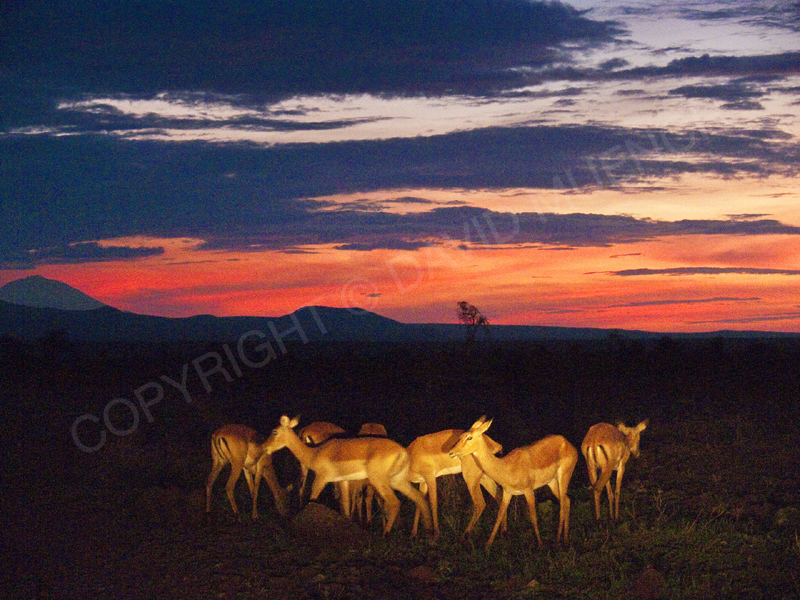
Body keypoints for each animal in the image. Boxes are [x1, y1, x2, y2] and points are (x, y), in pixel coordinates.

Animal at [265, 416, 432, 534]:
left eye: (274, 431)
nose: (265, 447)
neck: (315, 453)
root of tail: (403, 451)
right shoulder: (343, 481)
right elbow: (345, 506)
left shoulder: (322, 479)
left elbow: (312, 498)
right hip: (397, 481)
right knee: (419, 499)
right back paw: (429, 534)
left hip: (379, 481)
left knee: (394, 502)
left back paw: (385, 533)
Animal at [449, 416, 578, 549]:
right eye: (461, 436)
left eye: (469, 437)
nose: (451, 452)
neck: (506, 467)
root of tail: (569, 444)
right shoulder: (507, 492)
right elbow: (499, 515)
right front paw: (488, 546)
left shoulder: (528, 491)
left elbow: (533, 517)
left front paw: (540, 544)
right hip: (552, 483)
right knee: (567, 500)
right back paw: (565, 539)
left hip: (563, 476)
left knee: (562, 505)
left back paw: (558, 540)